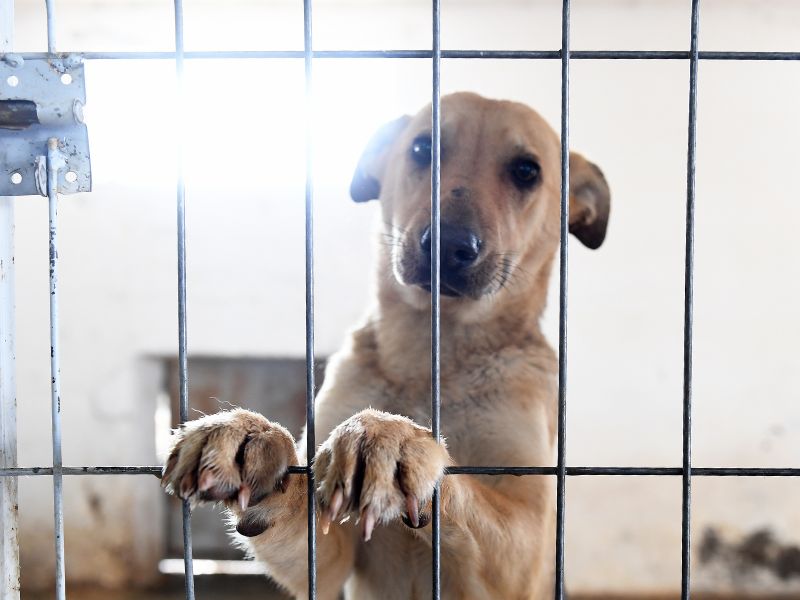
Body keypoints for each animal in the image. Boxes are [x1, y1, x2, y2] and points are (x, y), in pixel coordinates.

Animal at [162, 90, 612, 600]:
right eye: (422, 148)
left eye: (526, 171)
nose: (449, 245)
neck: (433, 356)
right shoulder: (330, 558)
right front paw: (249, 433)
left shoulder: (528, 547)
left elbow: (466, 487)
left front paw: (394, 438)